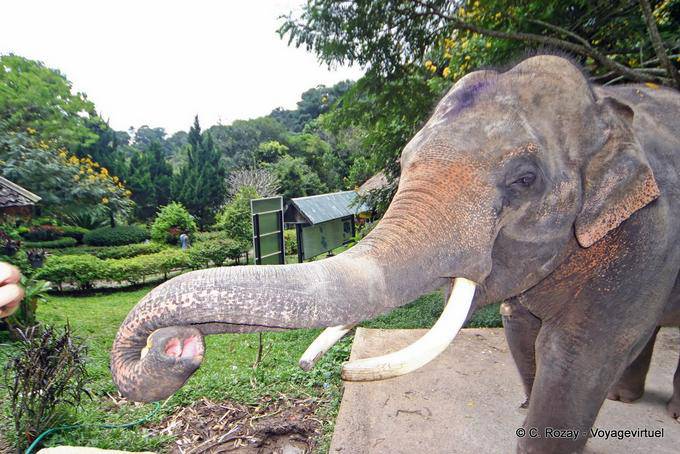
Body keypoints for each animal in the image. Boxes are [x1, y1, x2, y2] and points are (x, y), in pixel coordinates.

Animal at [111, 55, 680, 453]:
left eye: (525, 180)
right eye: (404, 164)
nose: (175, 344)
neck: (605, 107)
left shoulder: (652, 231)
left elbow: (576, 354)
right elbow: (520, 329)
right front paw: (525, 404)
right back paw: (625, 400)